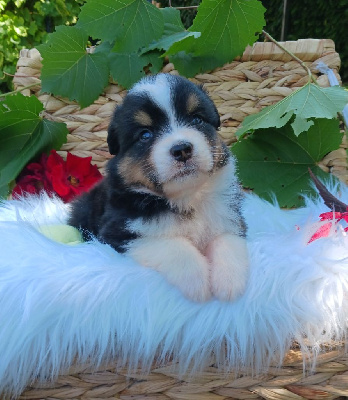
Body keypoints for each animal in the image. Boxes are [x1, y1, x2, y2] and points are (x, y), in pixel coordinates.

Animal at [68, 73, 247, 302]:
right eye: (145, 134)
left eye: (197, 120)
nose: (182, 149)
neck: (186, 198)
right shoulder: (118, 232)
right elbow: (171, 245)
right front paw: (198, 280)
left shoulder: (228, 216)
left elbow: (227, 239)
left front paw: (230, 282)